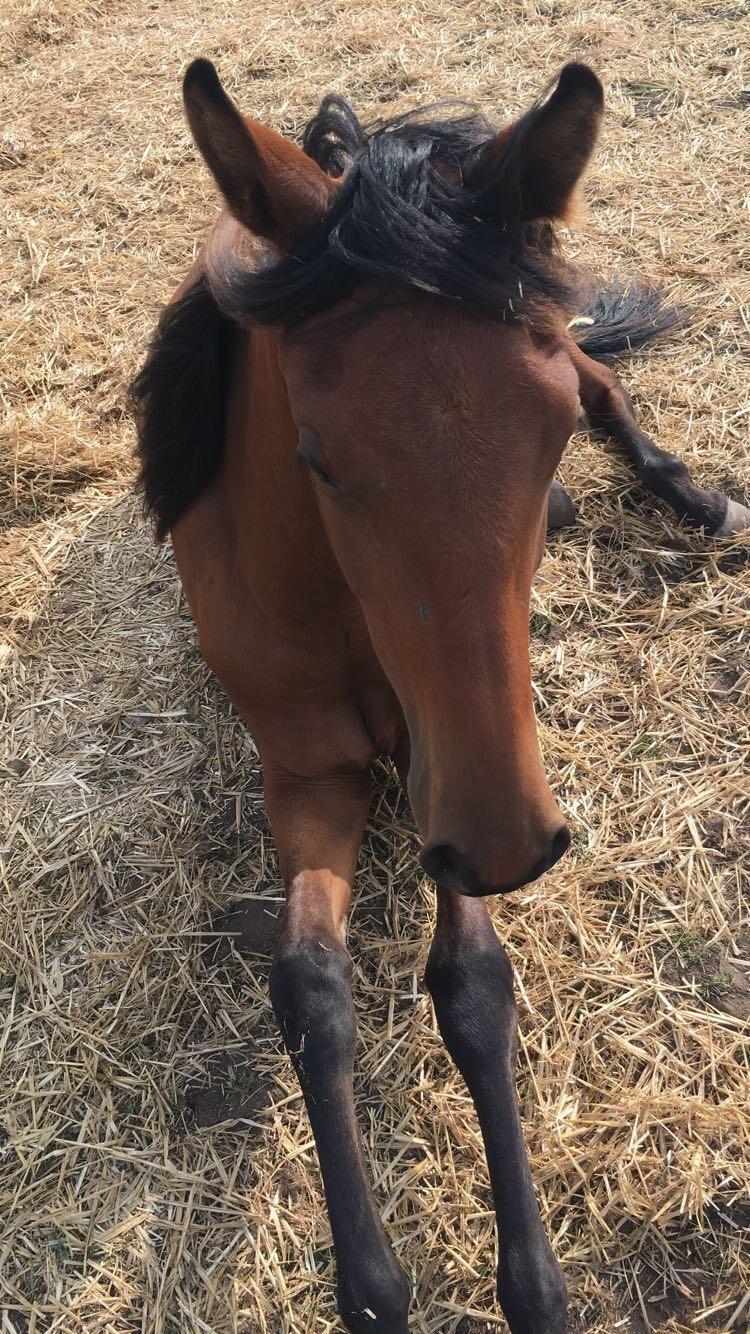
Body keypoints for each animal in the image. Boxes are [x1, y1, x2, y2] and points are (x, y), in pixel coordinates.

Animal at [132, 57, 747, 1328]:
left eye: (543, 432)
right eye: (317, 457)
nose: (515, 844)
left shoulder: (445, 762)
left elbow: (470, 982)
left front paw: (535, 1280)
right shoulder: (319, 776)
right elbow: (310, 984)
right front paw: (371, 1282)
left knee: (609, 373)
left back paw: (698, 496)